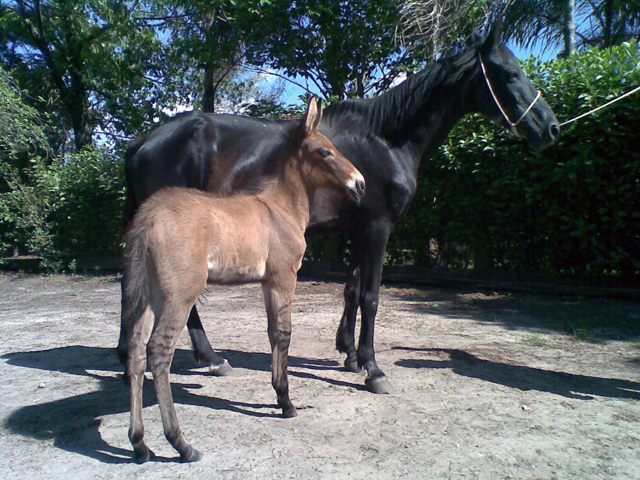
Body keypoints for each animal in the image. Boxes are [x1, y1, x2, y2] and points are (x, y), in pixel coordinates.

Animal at [120, 19, 560, 394]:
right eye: (508, 73)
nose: (550, 128)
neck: (384, 141)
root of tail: (145, 141)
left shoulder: (361, 229)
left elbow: (352, 291)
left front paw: (350, 354)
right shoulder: (378, 228)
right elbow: (371, 296)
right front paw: (373, 369)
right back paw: (210, 358)